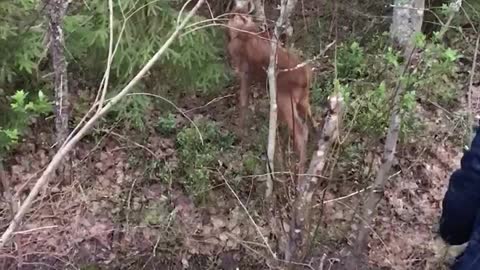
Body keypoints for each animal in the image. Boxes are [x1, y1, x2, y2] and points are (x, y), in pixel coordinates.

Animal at [226, 12, 314, 172]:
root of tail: (306, 78)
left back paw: (299, 171)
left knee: (301, 131)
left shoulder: (243, 70)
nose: (232, 14)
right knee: (313, 120)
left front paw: (240, 132)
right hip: (303, 99)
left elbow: (243, 101)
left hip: (284, 99)